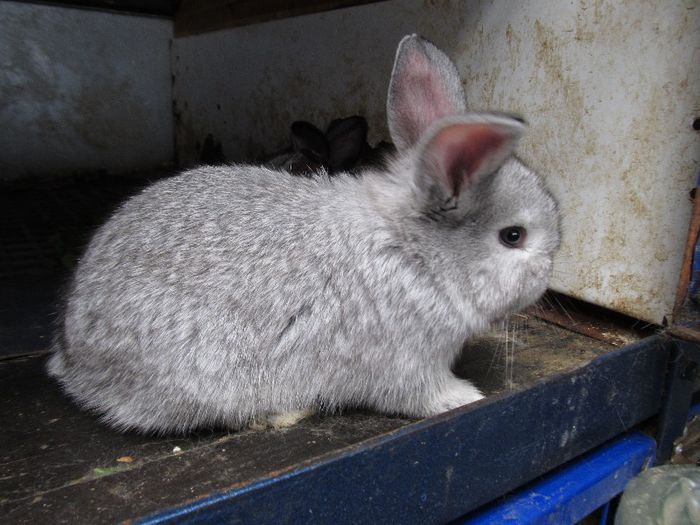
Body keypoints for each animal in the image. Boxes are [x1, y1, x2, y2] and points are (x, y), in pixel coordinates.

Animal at [47, 34, 564, 432]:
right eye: (513, 236)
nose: (547, 277)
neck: (414, 251)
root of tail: (72, 357)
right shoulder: (406, 361)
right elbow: (419, 395)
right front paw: (466, 396)